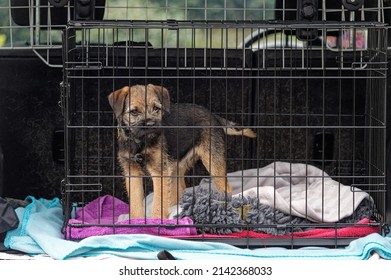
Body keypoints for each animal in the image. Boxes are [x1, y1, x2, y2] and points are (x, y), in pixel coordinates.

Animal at [108, 83, 258, 219]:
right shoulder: (132, 172)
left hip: (213, 161)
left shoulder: (160, 171)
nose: (151, 124)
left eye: (156, 108)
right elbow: (135, 202)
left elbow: (158, 202)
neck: (139, 143)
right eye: (134, 112)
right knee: (179, 190)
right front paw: (137, 221)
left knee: (227, 188)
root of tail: (213, 116)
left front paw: (155, 223)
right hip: (176, 167)